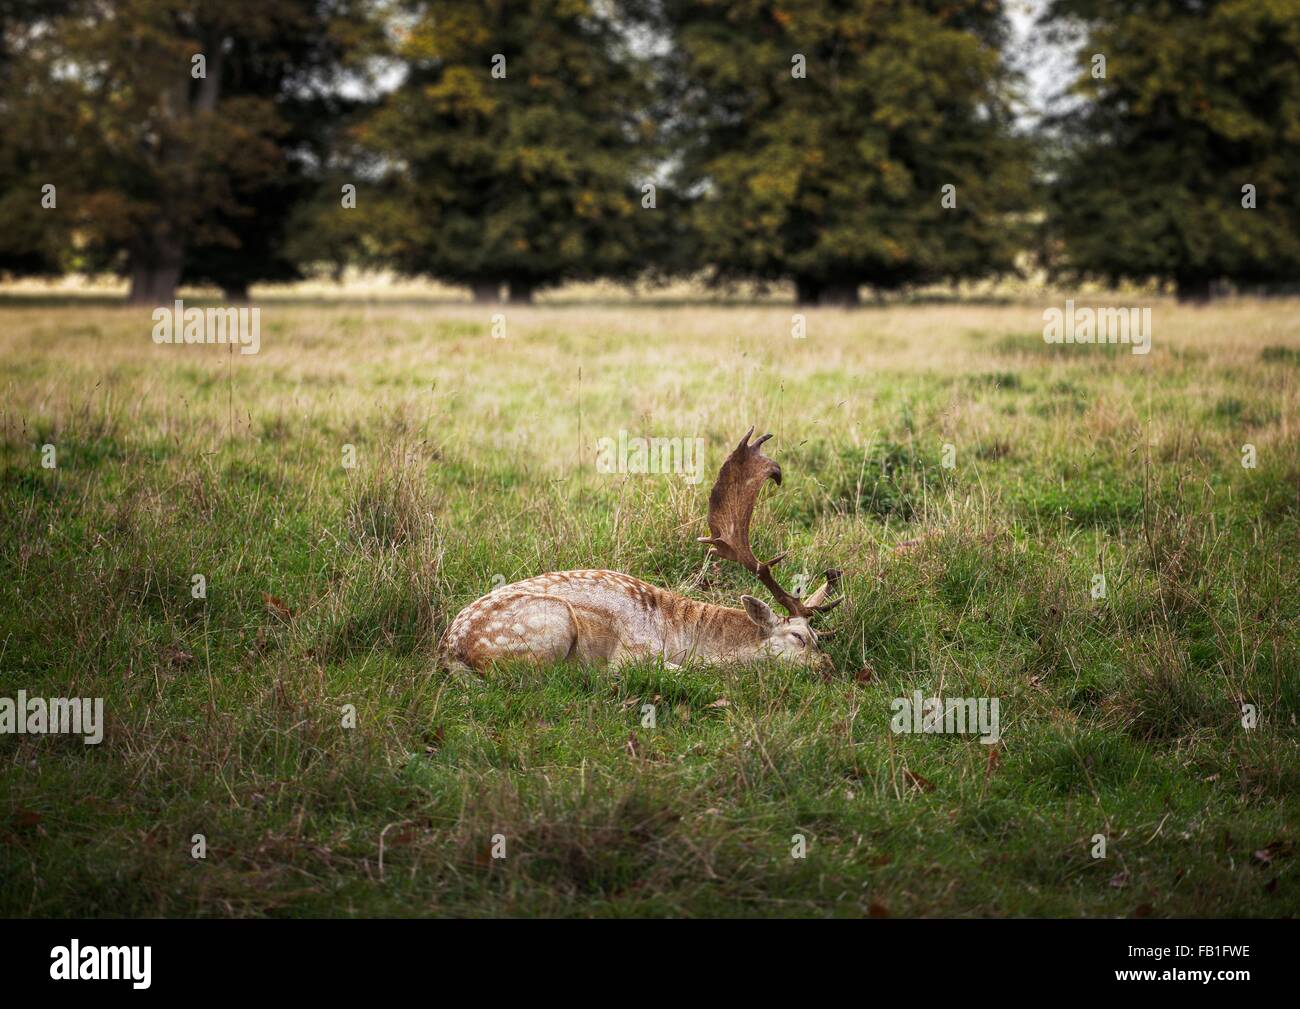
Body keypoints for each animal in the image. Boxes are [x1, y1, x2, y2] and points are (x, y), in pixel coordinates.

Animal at [439, 426, 842, 676]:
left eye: (820, 637)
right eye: (798, 637)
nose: (828, 667)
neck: (682, 638)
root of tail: (450, 652)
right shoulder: (633, 654)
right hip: (552, 624)